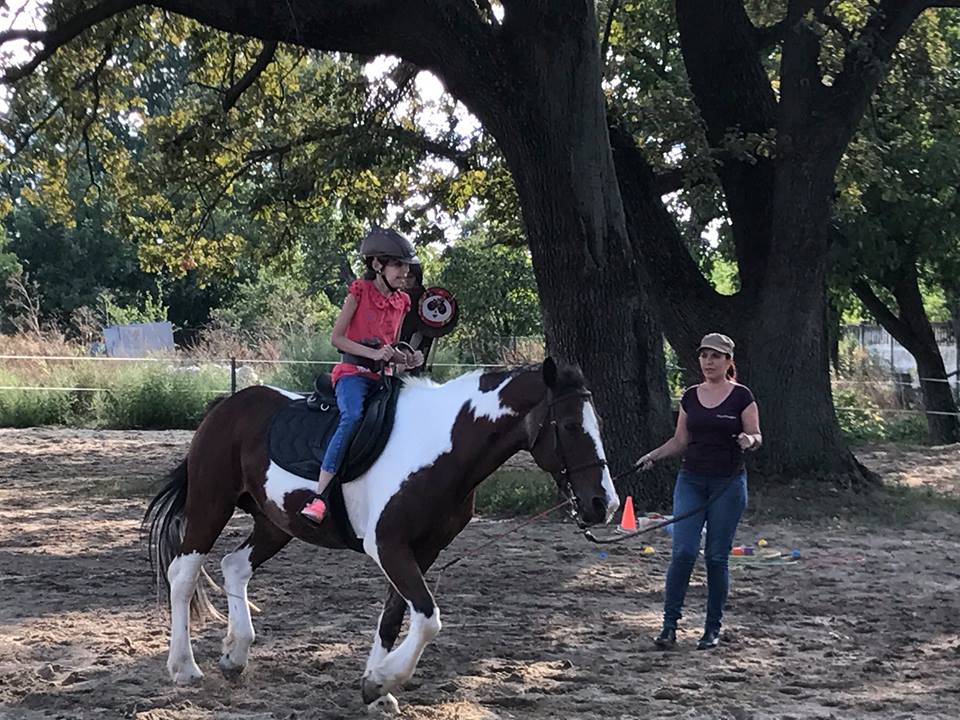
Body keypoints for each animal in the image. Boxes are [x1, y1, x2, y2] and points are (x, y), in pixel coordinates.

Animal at [144, 358, 624, 712]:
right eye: (569, 426)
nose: (604, 503)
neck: (441, 447)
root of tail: (226, 406)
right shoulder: (389, 547)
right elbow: (428, 618)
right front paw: (382, 680)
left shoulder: (422, 549)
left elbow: (395, 616)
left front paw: (376, 688)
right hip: (212, 504)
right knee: (183, 575)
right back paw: (183, 667)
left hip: (274, 522)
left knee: (235, 566)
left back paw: (235, 654)